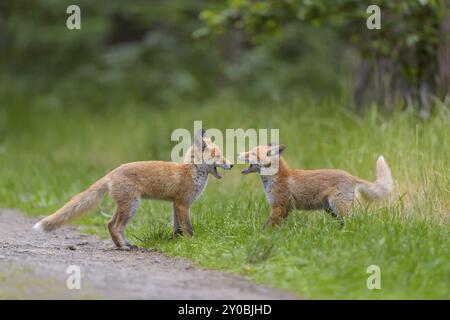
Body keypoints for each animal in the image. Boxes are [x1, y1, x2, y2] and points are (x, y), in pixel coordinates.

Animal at [33, 129, 234, 249]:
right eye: (219, 156)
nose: (231, 164)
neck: (190, 171)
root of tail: (111, 173)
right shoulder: (183, 204)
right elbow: (188, 228)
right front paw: (192, 243)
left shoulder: (175, 204)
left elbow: (177, 228)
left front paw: (176, 241)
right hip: (132, 205)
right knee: (114, 226)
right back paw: (124, 247)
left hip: (126, 206)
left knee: (110, 224)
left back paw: (125, 244)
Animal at [237, 144, 392, 226]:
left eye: (251, 153)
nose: (238, 153)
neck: (277, 178)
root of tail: (351, 176)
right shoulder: (286, 208)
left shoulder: (279, 205)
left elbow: (267, 226)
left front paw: (262, 235)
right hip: (331, 210)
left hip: (338, 207)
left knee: (353, 221)